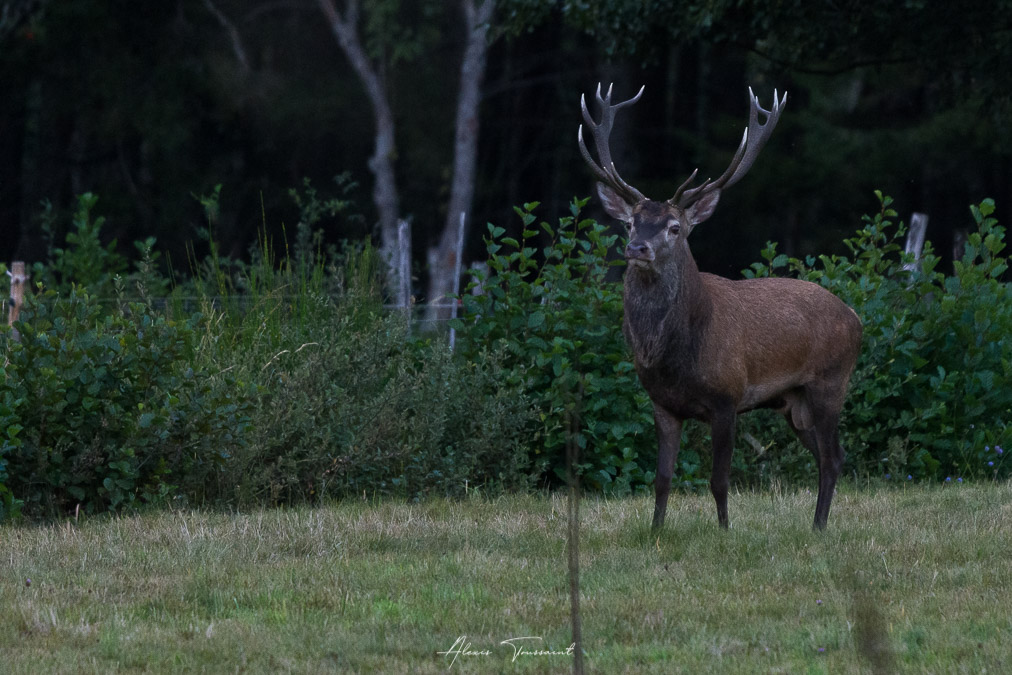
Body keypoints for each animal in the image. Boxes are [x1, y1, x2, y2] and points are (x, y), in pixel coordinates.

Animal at [578, 84, 863, 531]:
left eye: (674, 228)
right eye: (630, 222)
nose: (637, 247)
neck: (677, 355)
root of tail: (855, 318)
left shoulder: (727, 398)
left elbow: (718, 480)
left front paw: (725, 531)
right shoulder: (662, 404)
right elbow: (661, 478)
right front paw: (655, 530)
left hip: (831, 382)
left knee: (834, 457)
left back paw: (818, 527)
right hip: (793, 402)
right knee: (824, 456)